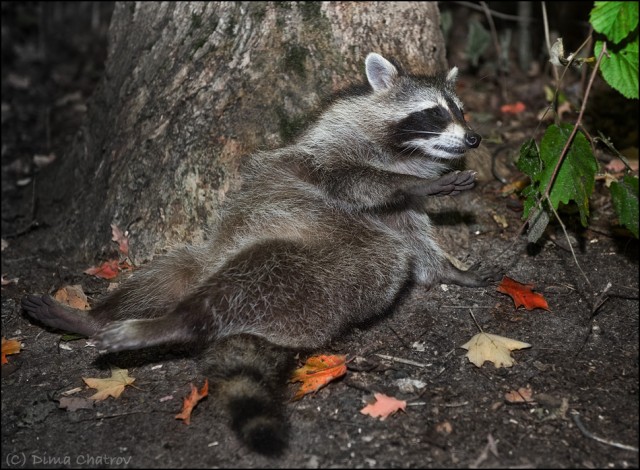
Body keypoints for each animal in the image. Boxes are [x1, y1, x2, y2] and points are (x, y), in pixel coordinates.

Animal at [22, 53, 498, 454]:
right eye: (435, 112)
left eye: (460, 109)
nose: (474, 137)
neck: (403, 151)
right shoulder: (329, 153)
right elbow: (356, 180)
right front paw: (419, 184)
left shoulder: (396, 216)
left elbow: (416, 241)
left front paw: (448, 270)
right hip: (264, 254)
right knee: (199, 276)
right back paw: (142, 318)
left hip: (328, 274)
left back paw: (106, 319)